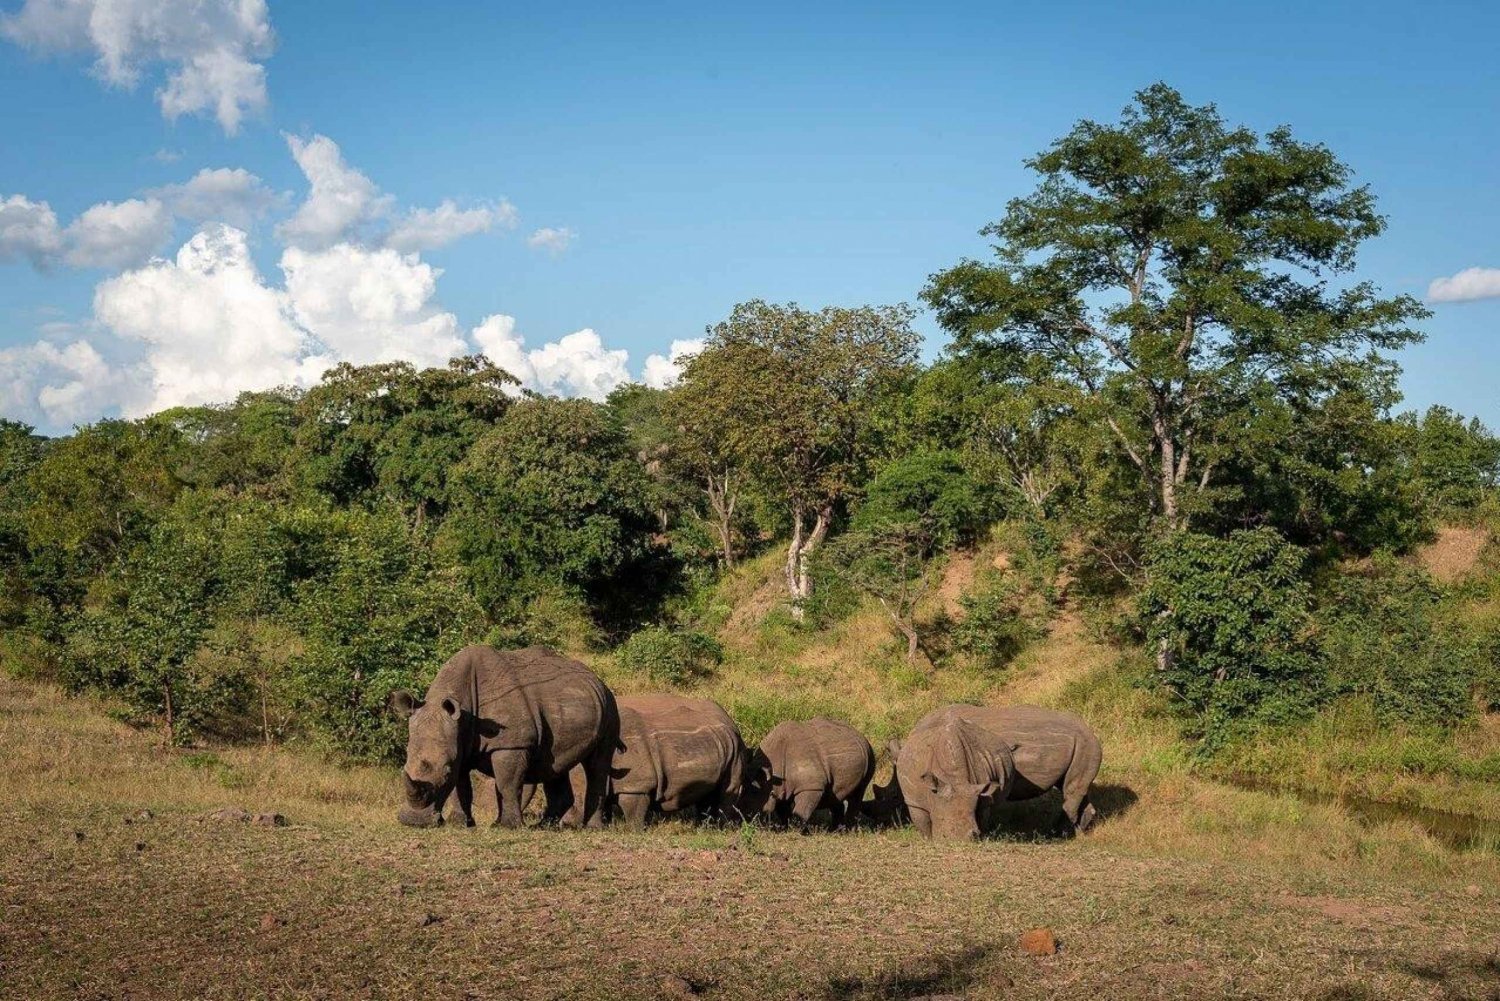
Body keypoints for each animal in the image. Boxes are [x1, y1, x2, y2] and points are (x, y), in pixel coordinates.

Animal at [393, 645, 621, 834]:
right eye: (405, 763)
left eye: (446, 771)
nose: (414, 822)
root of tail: (597, 678)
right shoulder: (459, 745)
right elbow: (461, 788)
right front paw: (461, 824)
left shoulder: (511, 744)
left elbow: (507, 784)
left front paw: (507, 826)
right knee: (555, 763)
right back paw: (544, 826)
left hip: (609, 706)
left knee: (597, 763)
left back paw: (592, 829)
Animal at [609, 693, 750, 828]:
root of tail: (731, 723)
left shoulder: (636, 786)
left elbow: (634, 816)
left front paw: (635, 831)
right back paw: (706, 827)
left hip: (735, 748)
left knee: (728, 792)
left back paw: (721, 829)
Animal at [741, 720, 876, 828]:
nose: (746, 821)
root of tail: (861, 735)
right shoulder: (782, 788)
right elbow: (783, 809)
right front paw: (784, 827)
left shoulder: (812, 787)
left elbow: (802, 809)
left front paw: (796, 828)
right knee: (835, 795)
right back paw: (834, 830)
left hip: (870, 753)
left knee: (858, 793)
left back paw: (847, 829)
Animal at [894, 708, 1098, 840]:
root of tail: (1089, 730)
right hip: (1083, 744)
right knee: (1072, 787)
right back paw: (1077, 834)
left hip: (1085, 744)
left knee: (1071, 792)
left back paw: (1057, 835)